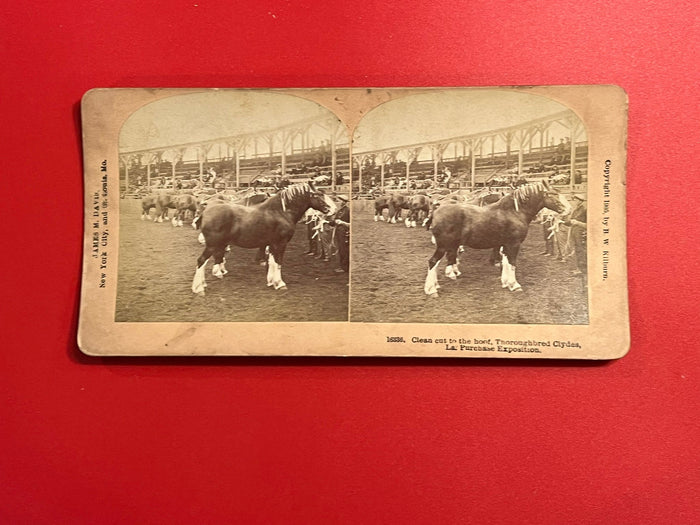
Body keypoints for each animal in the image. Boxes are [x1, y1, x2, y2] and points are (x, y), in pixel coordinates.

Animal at [190, 182, 334, 292]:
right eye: (316, 195)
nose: (330, 209)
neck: (280, 212)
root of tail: (205, 212)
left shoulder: (271, 244)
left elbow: (272, 261)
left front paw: (271, 281)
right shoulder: (280, 243)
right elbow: (278, 262)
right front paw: (280, 283)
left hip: (218, 244)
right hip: (213, 244)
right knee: (201, 260)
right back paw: (198, 288)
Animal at [426, 180, 568, 294]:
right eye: (552, 194)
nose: (567, 209)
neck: (514, 212)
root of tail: (436, 212)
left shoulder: (505, 244)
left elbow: (505, 262)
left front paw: (505, 282)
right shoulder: (514, 244)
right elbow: (512, 263)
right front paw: (514, 285)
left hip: (450, 245)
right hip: (443, 245)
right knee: (433, 262)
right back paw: (431, 289)